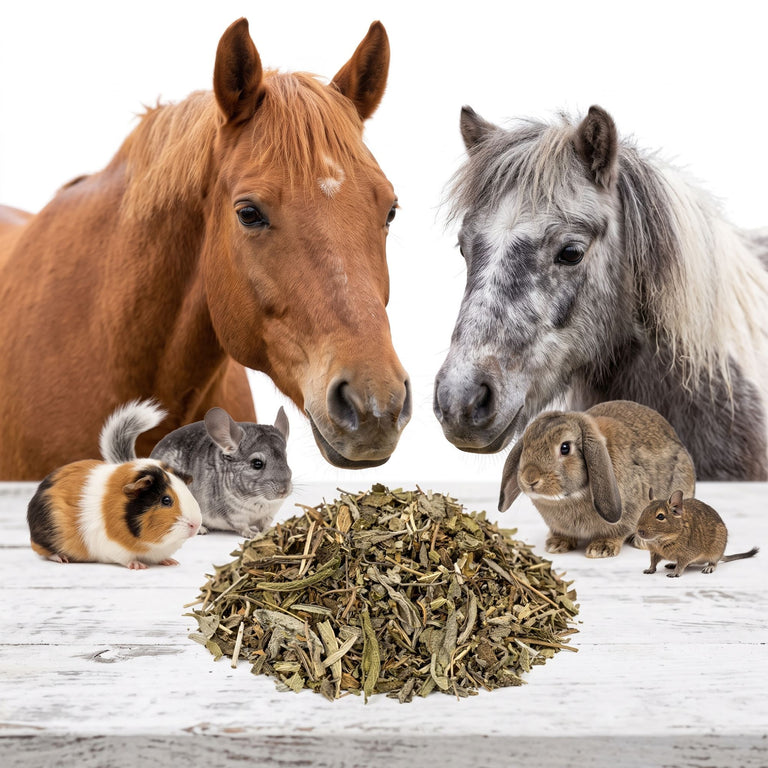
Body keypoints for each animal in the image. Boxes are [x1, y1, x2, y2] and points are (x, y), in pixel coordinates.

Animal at [27, 400, 201, 569]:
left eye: (187, 491)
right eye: (166, 500)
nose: (196, 524)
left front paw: (171, 562)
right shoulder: (115, 548)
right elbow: (126, 558)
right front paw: (138, 566)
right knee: (44, 552)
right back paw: (62, 558)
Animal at [150, 405, 292, 537]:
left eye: (286, 459)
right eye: (257, 464)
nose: (284, 491)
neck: (259, 500)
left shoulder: (269, 514)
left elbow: (265, 524)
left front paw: (272, 530)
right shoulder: (234, 515)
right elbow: (243, 527)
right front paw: (252, 534)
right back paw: (201, 529)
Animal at [498, 400, 696, 558]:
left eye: (565, 448)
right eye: (525, 445)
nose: (530, 478)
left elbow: (616, 531)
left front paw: (601, 549)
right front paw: (556, 544)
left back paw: (642, 542)